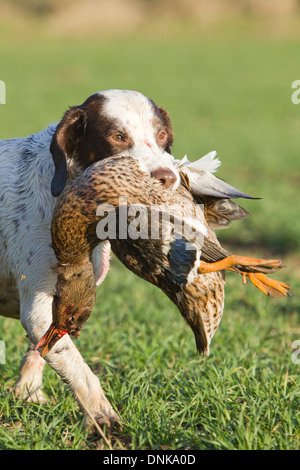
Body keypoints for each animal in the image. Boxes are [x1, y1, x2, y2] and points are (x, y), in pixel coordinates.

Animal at [0, 89, 180, 426]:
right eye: (118, 137)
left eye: (161, 135)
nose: (166, 178)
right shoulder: (39, 307)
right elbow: (81, 372)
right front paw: (105, 419)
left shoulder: (60, 304)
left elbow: (43, 348)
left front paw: (28, 394)